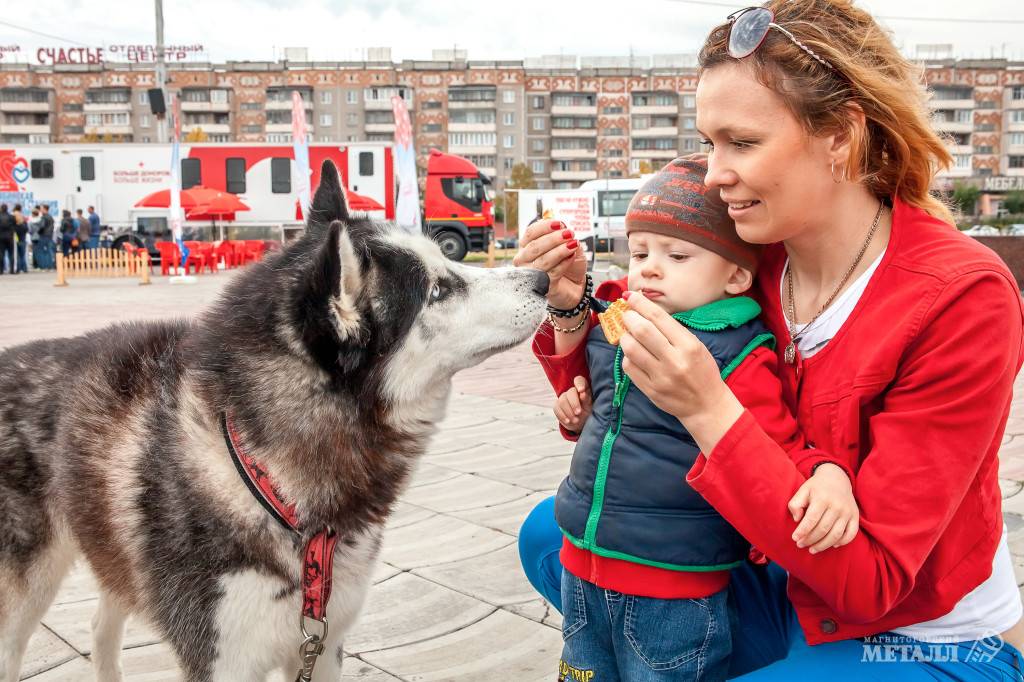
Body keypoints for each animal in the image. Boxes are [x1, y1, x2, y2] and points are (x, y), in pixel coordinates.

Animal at [0, 160, 552, 679]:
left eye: (448, 259)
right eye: (438, 289)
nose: (543, 278)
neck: (261, 474)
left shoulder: (322, 641)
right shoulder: (222, 660)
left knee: (101, 624)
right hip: (25, 596)